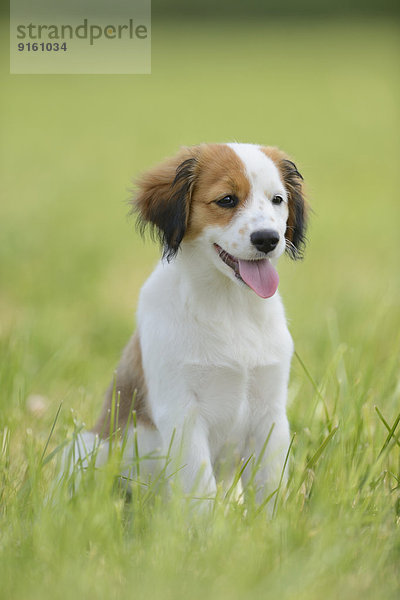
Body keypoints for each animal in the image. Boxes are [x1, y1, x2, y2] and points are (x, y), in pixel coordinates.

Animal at [67, 143, 308, 504]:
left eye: (277, 199)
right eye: (227, 200)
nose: (268, 239)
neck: (230, 307)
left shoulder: (271, 414)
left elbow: (270, 491)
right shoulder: (182, 413)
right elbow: (200, 493)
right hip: (86, 447)